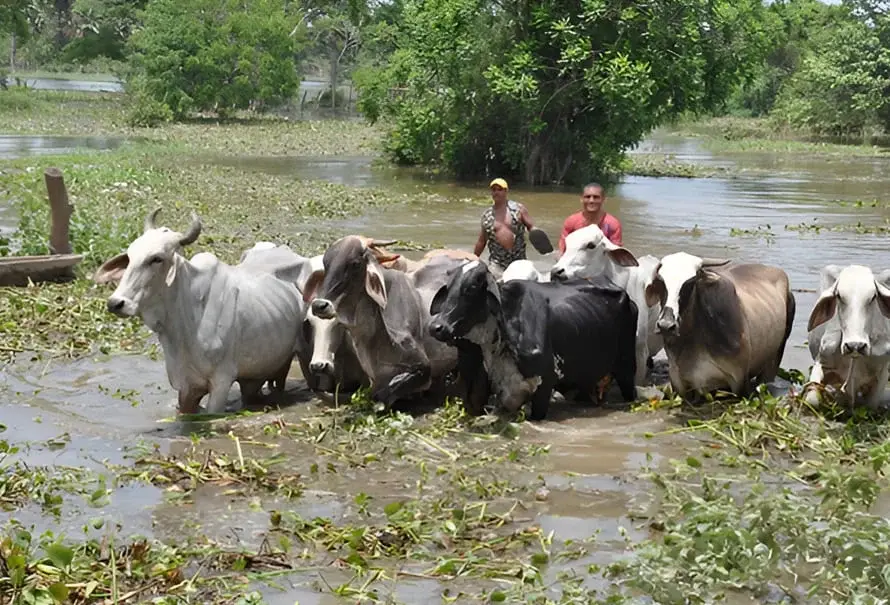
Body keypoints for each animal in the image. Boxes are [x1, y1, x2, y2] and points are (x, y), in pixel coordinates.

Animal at [804, 264, 890, 408]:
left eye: (873, 297)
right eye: (839, 296)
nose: (855, 345)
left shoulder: (881, 374)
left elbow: (871, 405)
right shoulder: (821, 361)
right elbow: (812, 400)